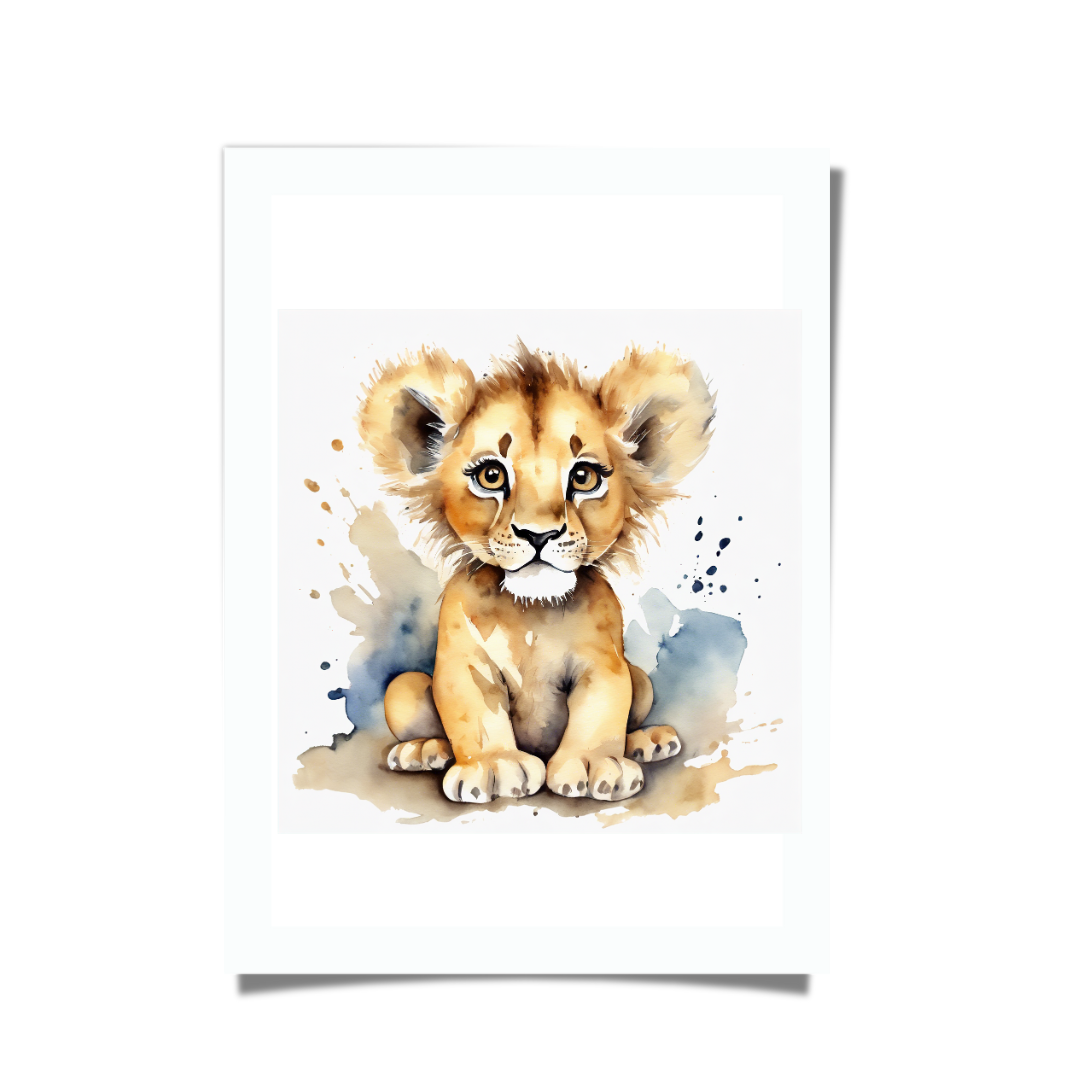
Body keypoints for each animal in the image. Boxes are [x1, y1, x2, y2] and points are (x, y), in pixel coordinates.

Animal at [356, 340, 714, 804]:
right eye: (491, 475)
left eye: (584, 476)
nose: (538, 534)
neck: (532, 615)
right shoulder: (464, 663)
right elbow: (475, 713)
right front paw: (494, 767)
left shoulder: (605, 664)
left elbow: (602, 710)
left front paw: (595, 766)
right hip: (403, 688)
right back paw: (423, 751)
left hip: (643, 681)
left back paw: (648, 742)